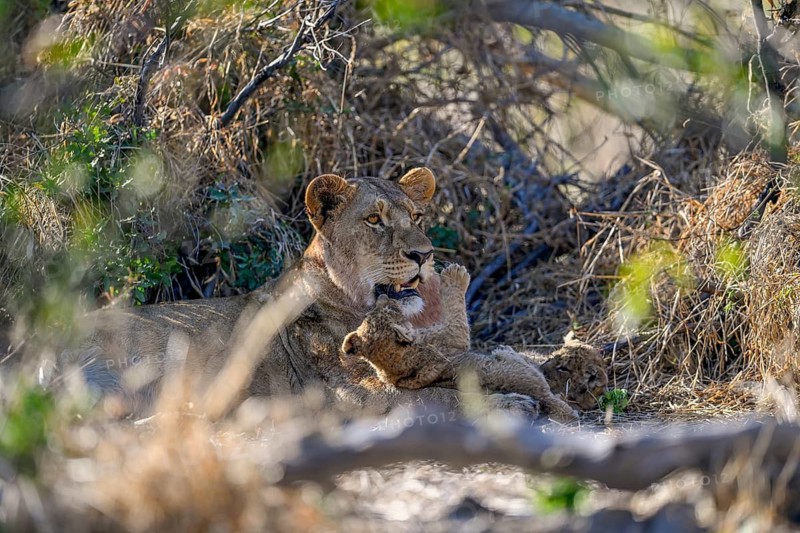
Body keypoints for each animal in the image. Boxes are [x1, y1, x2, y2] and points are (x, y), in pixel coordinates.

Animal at [56, 168, 550, 418]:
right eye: (374, 220)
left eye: (416, 215)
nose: (424, 254)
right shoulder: (356, 395)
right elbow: (436, 398)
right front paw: (511, 403)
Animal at [340, 265, 579, 422]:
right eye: (391, 309)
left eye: (374, 314)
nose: (384, 297)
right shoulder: (453, 338)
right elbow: (457, 317)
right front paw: (455, 274)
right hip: (518, 371)